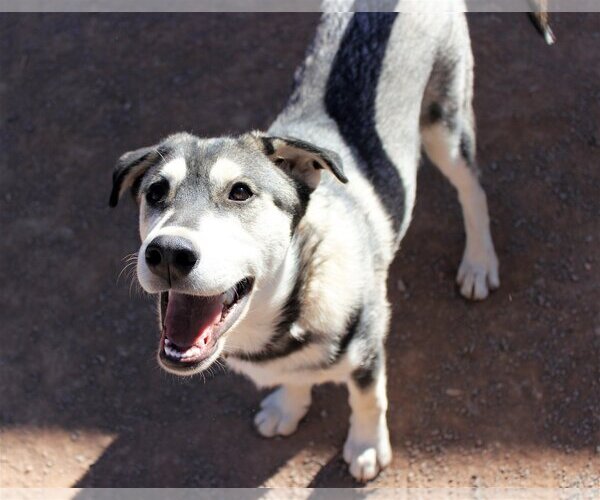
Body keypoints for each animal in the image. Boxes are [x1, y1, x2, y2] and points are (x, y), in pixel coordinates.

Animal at [108, 1, 502, 482]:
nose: (167, 253)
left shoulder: (368, 345)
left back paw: (479, 263)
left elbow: (369, 398)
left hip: (445, 124)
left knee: (473, 189)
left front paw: (367, 447)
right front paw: (288, 406)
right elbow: (295, 376)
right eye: (155, 192)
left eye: (241, 192)